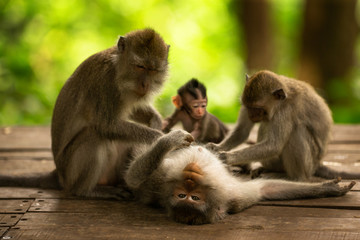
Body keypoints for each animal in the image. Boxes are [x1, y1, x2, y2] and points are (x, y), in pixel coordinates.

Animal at [0, 28, 170, 199]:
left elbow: (131, 110)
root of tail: (59, 174)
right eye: (140, 66)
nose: (145, 84)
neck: (117, 68)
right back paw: (87, 191)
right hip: (70, 171)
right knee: (94, 135)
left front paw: (156, 120)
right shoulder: (105, 83)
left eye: (153, 70)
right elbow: (107, 126)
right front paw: (159, 138)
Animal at [125, 129, 356, 225]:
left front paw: (327, 189)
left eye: (194, 198)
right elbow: (133, 178)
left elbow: (263, 189)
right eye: (183, 196)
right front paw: (170, 140)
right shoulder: (161, 183)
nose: (190, 177)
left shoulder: (233, 197)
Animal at [207, 70, 360, 181]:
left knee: (296, 132)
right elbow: (242, 131)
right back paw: (271, 169)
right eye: (247, 106)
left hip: (310, 164)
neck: (280, 102)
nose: (251, 115)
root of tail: (318, 164)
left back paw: (296, 178)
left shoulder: (285, 111)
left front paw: (227, 157)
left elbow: (274, 145)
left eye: (257, 109)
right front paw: (216, 147)